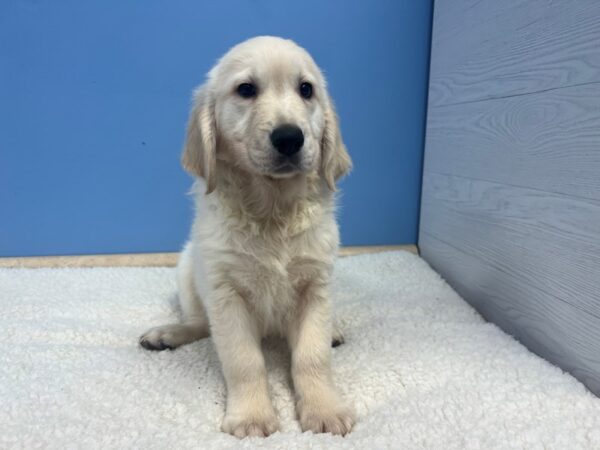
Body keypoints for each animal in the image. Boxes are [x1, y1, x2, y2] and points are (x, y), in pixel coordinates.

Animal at [139, 37, 356, 438]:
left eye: (306, 90)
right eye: (245, 90)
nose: (289, 137)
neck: (271, 209)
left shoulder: (316, 285)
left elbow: (312, 356)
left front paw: (324, 409)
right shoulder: (226, 292)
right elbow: (244, 361)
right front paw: (252, 416)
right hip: (187, 270)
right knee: (199, 323)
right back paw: (167, 333)